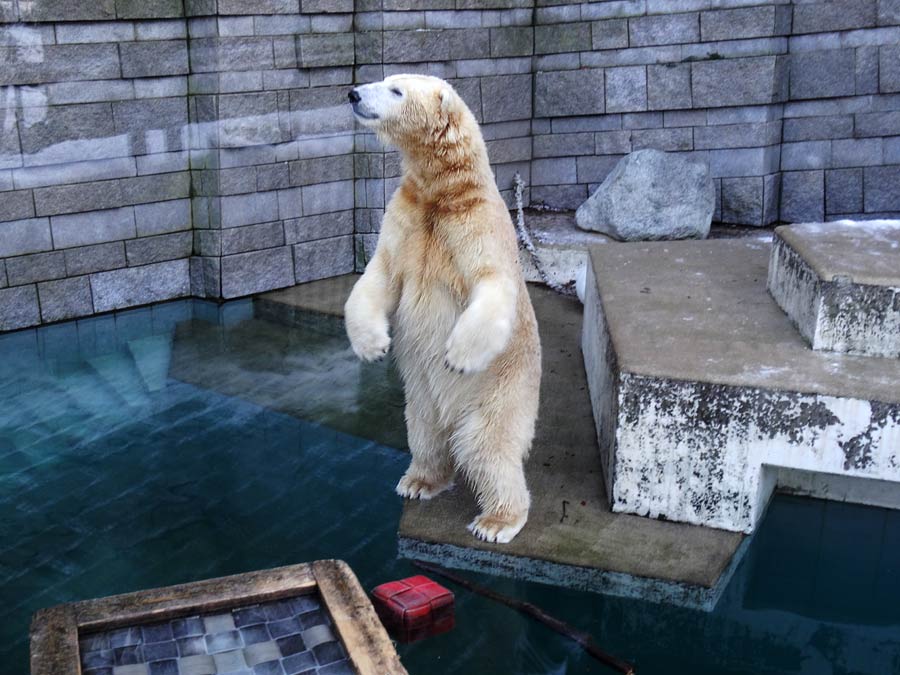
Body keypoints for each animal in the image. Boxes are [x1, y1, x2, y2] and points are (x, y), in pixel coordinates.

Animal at [344, 76, 540, 548]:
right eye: (384, 81)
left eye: (395, 90)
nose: (354, 93)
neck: (444, 191)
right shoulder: (405, 217)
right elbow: (379, 275)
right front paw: (373, 346)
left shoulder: (477, 223)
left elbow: (492, 282)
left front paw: (458, 356)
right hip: (420, 401)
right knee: (425, 434)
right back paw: (419, 481)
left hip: (502, 392)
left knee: (486, 447)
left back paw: (497, 520)